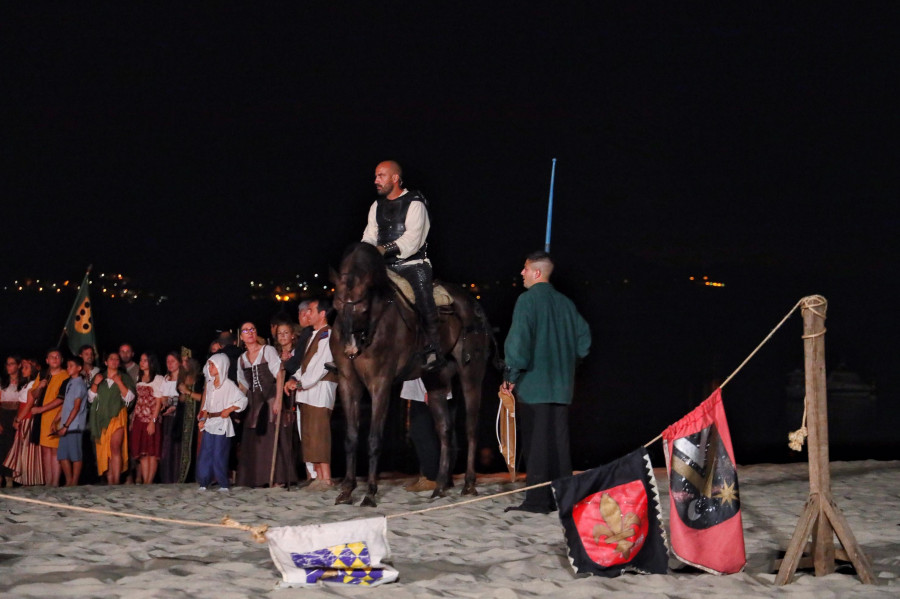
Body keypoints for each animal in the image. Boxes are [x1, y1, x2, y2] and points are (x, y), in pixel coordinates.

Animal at [330, 243, 492, 506]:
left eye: (363, 308)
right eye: (336, 305)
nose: (350, 349)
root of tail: (473, 305)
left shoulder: (380, 384)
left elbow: (374, 438)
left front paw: (370, 493)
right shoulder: (347, 383)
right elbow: (351, 437)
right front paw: (346, 490)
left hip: (471, 376)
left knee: (471, 428)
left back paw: (468, 483)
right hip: (436, 381)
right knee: (445, 430)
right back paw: (440, 487)